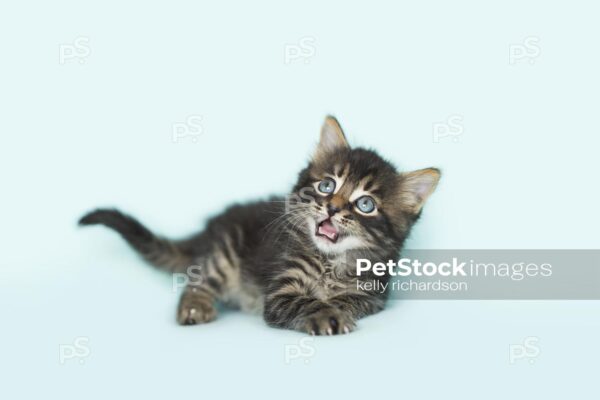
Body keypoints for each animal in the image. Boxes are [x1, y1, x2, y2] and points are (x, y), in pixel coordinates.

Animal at [79, 116, 440, 334]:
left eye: (366, 204)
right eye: (327, 185)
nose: (332, 207)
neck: (330, 262)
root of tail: (214, 225)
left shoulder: (373, 293)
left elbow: (349, 300)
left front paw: (336, 307)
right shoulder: (281, 288)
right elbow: (306, 300)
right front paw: (326, 314)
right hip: (225, 254)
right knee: (198, 280)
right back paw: (194, 307)